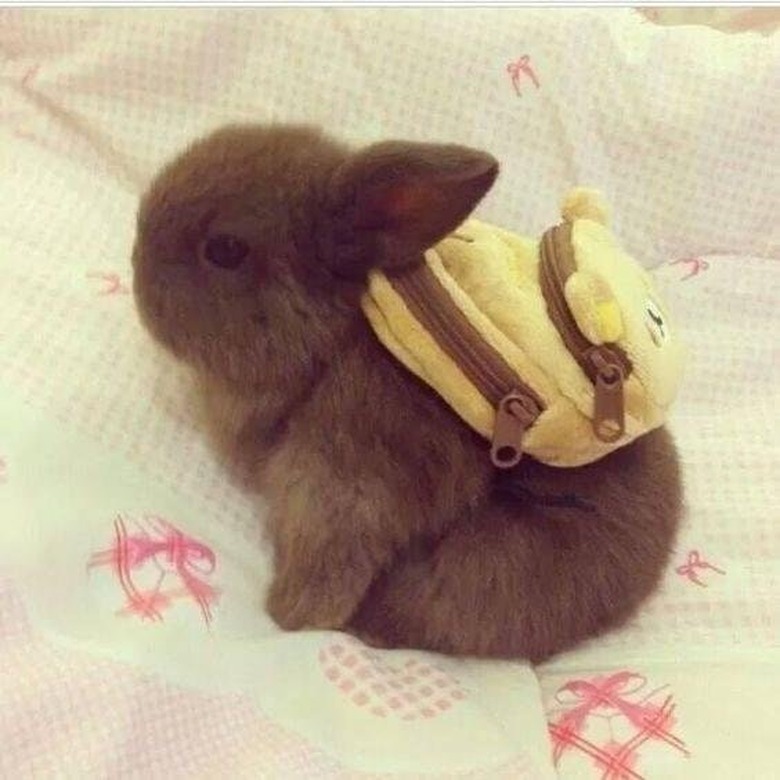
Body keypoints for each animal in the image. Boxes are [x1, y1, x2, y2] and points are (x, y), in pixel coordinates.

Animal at [131, 125, 680, 660]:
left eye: (225, 249)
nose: (136, 273)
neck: (332, 346)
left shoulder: (343, 477)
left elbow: (332, 553)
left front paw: (289, 616)